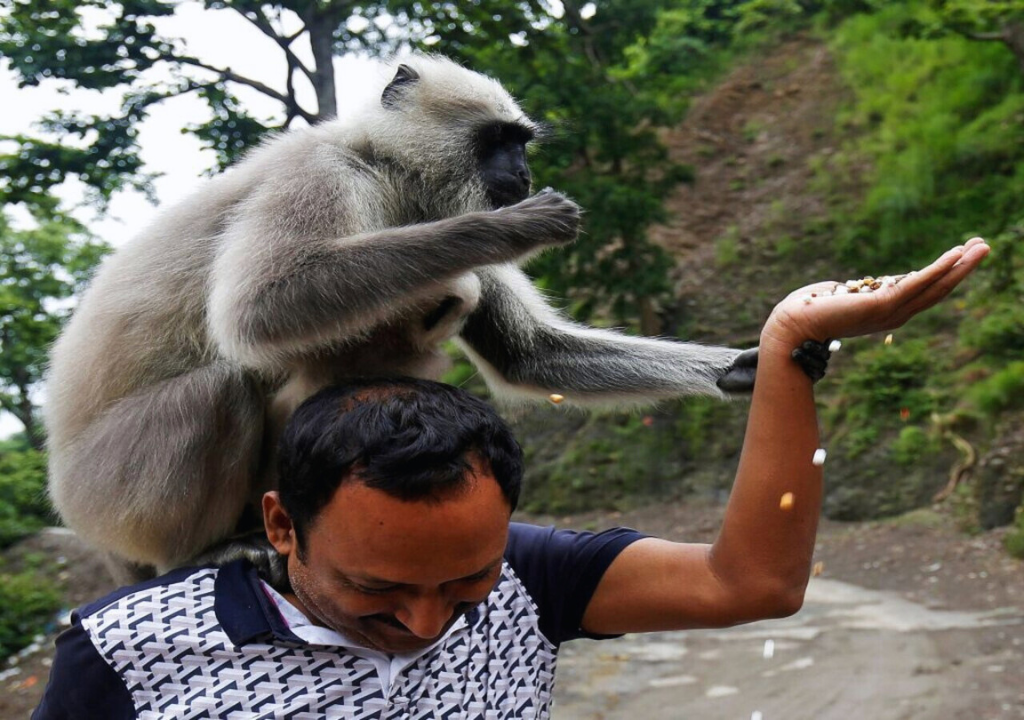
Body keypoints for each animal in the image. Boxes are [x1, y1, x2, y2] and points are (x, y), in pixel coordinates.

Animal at [44, 55, 760, 583]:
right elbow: (259, 308)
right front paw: (509, 230)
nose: (523, 171)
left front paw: (745, 367)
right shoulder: (323, 173)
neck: (385, 167)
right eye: (497, 141)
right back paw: (199, 551)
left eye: (520, 143)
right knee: (226, 384)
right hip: (112, 492)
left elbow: (531, 353)